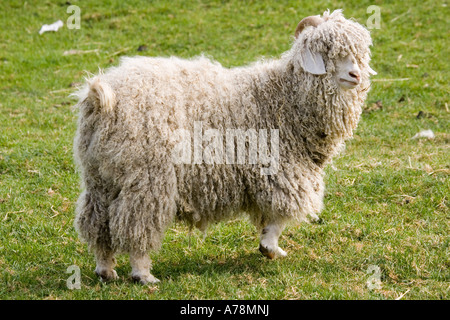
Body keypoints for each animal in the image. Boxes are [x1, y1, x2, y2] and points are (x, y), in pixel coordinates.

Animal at [74, 9, 376, 282]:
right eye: (326, 51)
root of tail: (103, 98)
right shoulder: (281, 172)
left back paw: (106, 269)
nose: (355, 75)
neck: (283, 97)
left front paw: (269, 246)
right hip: (146, 176)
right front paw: (270, 247)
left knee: (98, 224)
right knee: (138, 225)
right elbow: (279, 214)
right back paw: (143, 274)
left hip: (101, 178)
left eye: (359, 52)